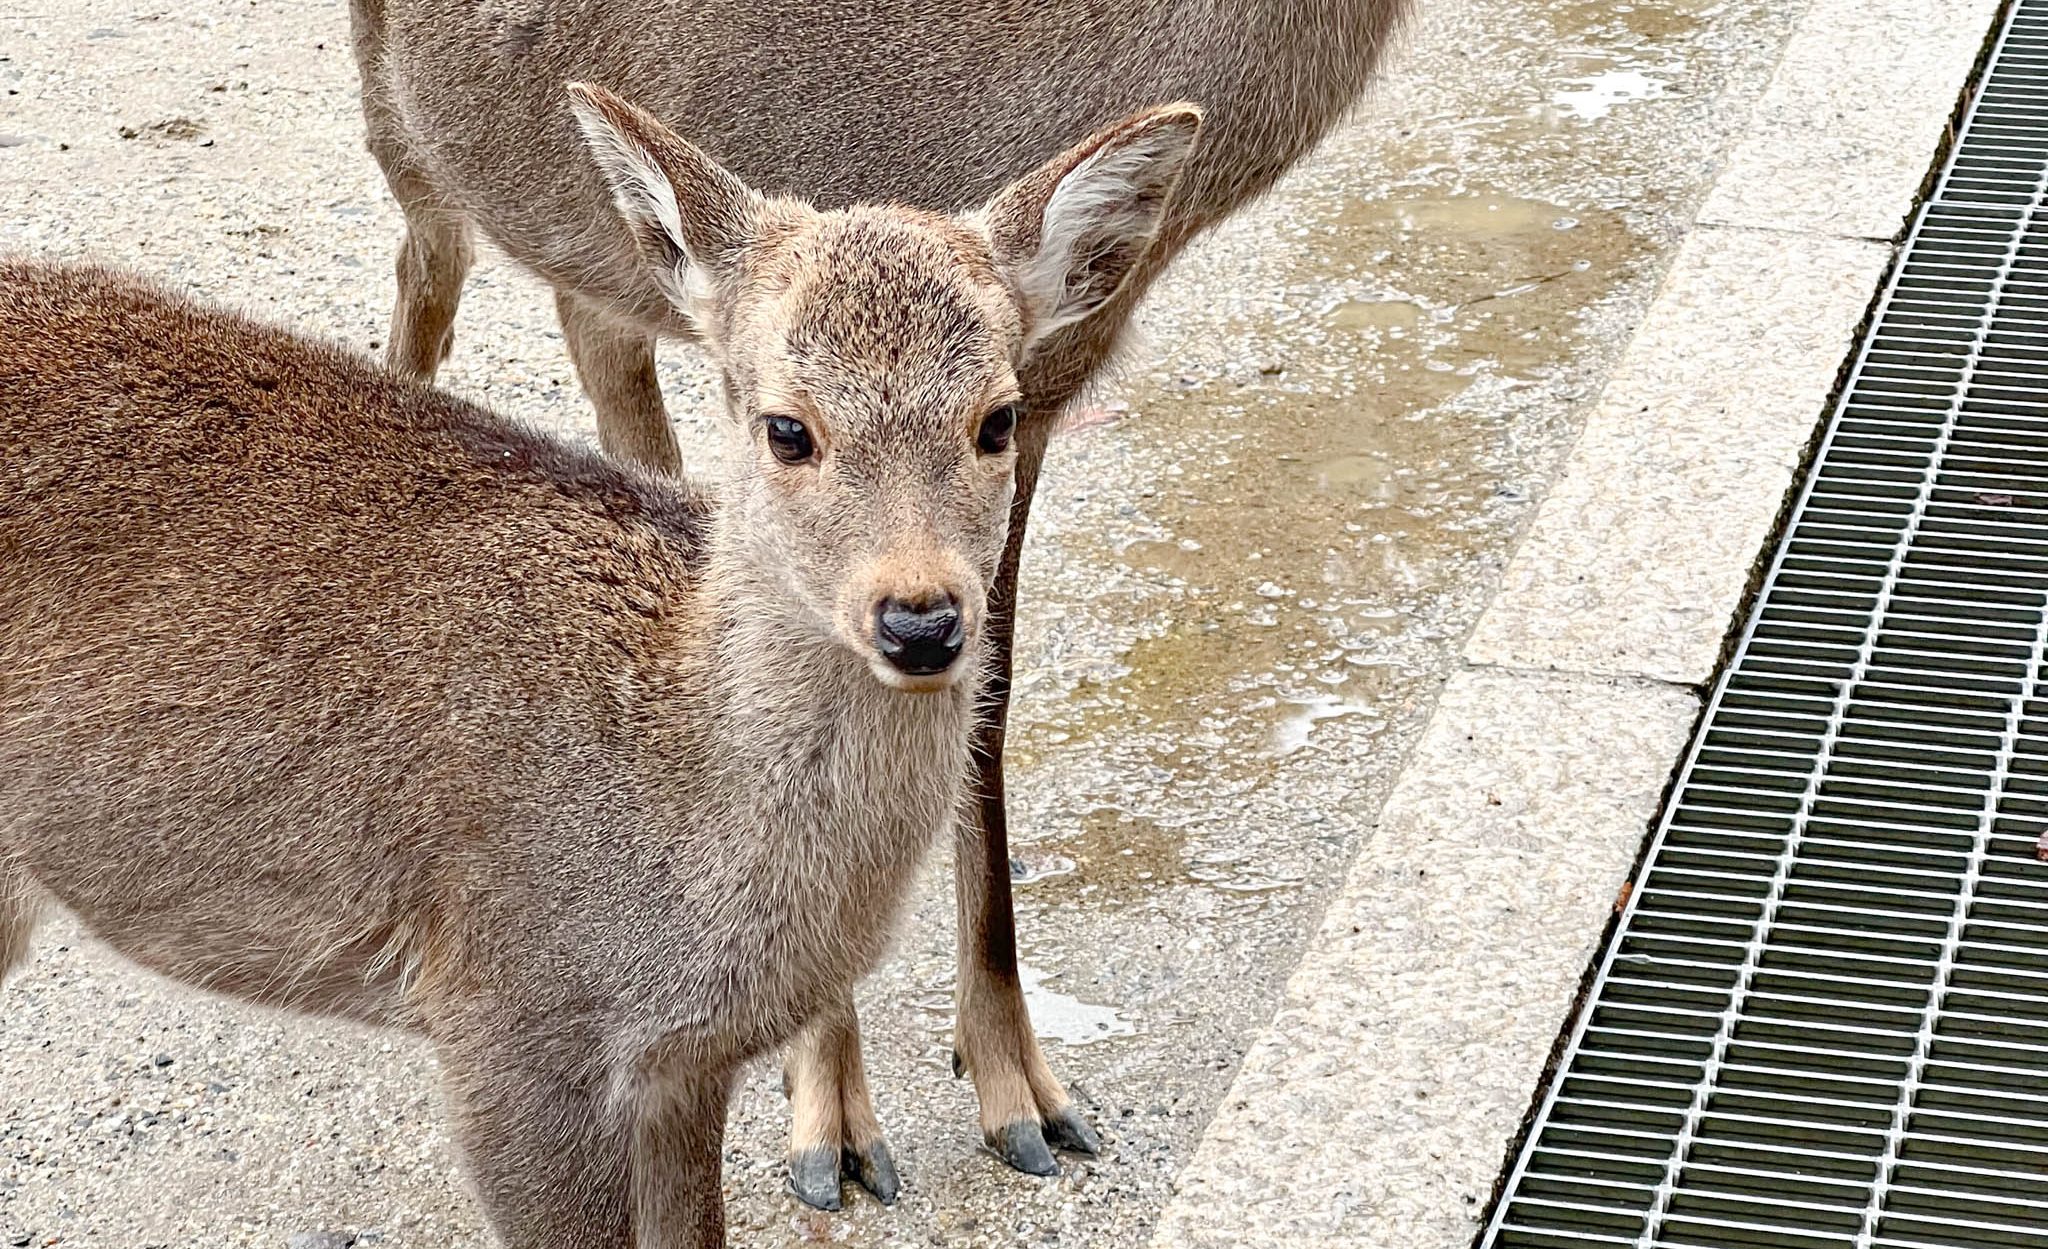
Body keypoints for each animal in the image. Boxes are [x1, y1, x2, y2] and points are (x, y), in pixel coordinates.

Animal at [348, 0, 1409, 1203]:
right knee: (428, 273)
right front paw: (835, 1127)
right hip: (400, 128)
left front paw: (1021, 1090)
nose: (916, 624)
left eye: (992, 419)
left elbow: (989, 702)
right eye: (790, 425)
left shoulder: (1037, 392)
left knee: (592, 330)